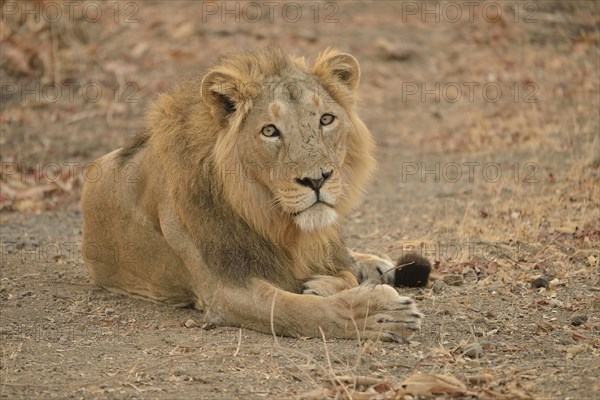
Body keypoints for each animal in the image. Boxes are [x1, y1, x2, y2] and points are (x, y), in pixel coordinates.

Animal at [82, 47, 428, 340]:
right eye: (270, 130)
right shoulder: (226, 291)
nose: (317, 179)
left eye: (326, 119)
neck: (269, 216)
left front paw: (330, 282)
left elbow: (339, 274)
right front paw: (380, 314)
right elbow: (299, 311)